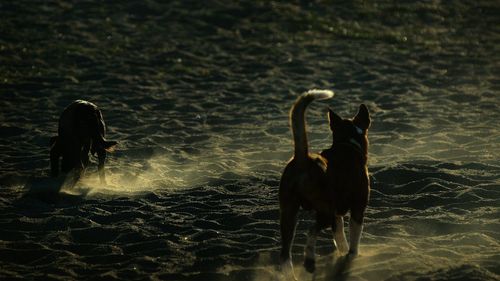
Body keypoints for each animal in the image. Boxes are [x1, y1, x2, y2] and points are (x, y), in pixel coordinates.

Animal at [278, 89, 372, 278]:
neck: (348, 144)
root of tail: (302, 159)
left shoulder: (337, 215)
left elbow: (340, 238)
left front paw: (342, 252)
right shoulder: (357, 208)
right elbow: (354, 240)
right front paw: (352, 256)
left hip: (289, 213)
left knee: (285, 253)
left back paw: (291, 274)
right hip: (324, 210)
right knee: (311, 231)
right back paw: (309, 262)